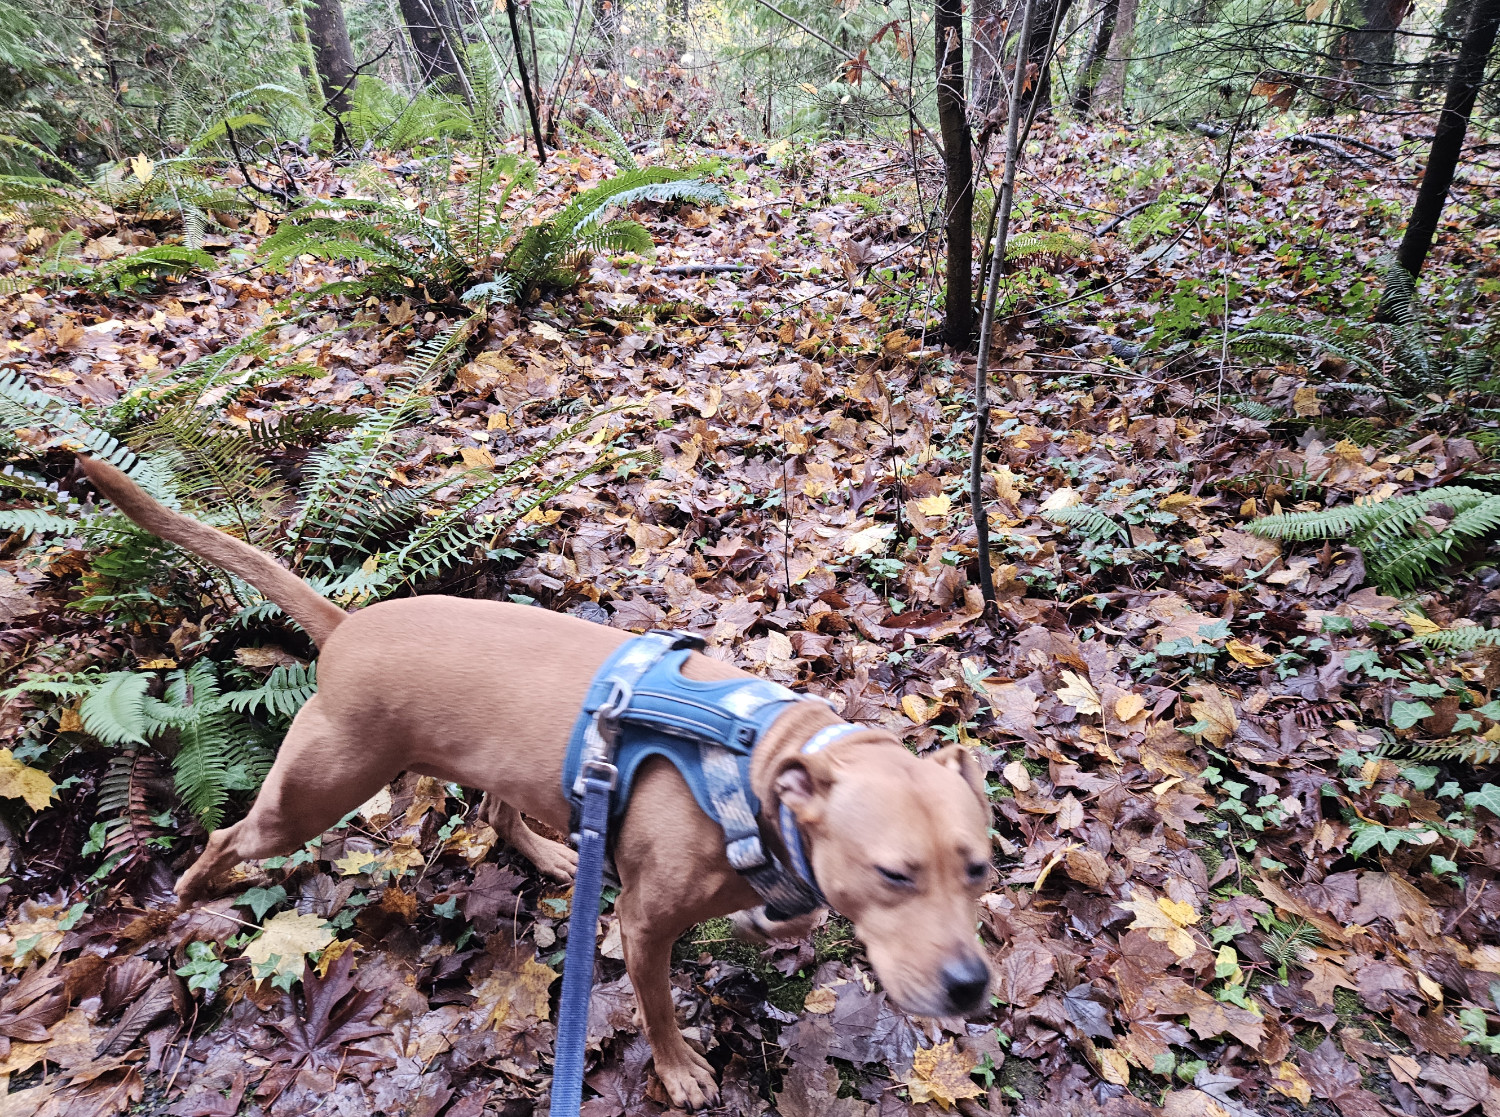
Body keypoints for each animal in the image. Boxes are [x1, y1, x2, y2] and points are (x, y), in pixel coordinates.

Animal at [79, 455, 996, 1109]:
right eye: (894, 873)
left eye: (980, 869)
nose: (971, 986)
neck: (753, 764)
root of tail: (344, 627)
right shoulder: (642, 923)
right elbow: (658, 1005)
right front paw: (678, 1068)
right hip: (314, 792)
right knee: (231, 833)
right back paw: (191, 892)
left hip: (503, 762)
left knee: (493, 807)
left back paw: (552, 856)